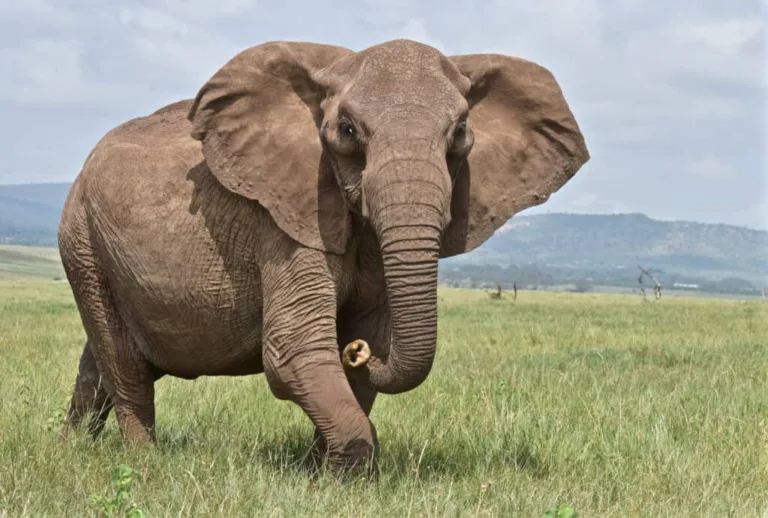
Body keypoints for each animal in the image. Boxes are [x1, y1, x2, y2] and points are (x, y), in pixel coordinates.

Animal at [57, 39, 589, 476]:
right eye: (348, 130)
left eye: (459, 132)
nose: (356, 352)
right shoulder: (288, 219)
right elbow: (294, 348)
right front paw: (347, 474)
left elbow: (366, 344)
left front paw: (319, 473)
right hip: (82, 241)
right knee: (123, 364)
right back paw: (145, 462)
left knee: (97, 364)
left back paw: (73, 448)